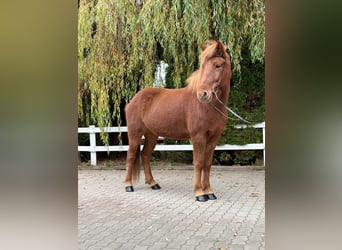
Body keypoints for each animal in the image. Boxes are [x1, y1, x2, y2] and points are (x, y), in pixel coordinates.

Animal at [124, 40, 231, 202]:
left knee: (145, 155)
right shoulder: (198, 136)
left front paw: (209, 191)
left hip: (152, 135)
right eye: (203, 66)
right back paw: (128, 185)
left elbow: (207, 164)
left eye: (218, 65)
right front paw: (200, 193)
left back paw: (153, 183)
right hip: (135, 134)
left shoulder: (214, 138)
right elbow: (198, 163)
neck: (208, 107)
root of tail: (135, 99)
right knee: (130, 157)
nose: (203, 94)